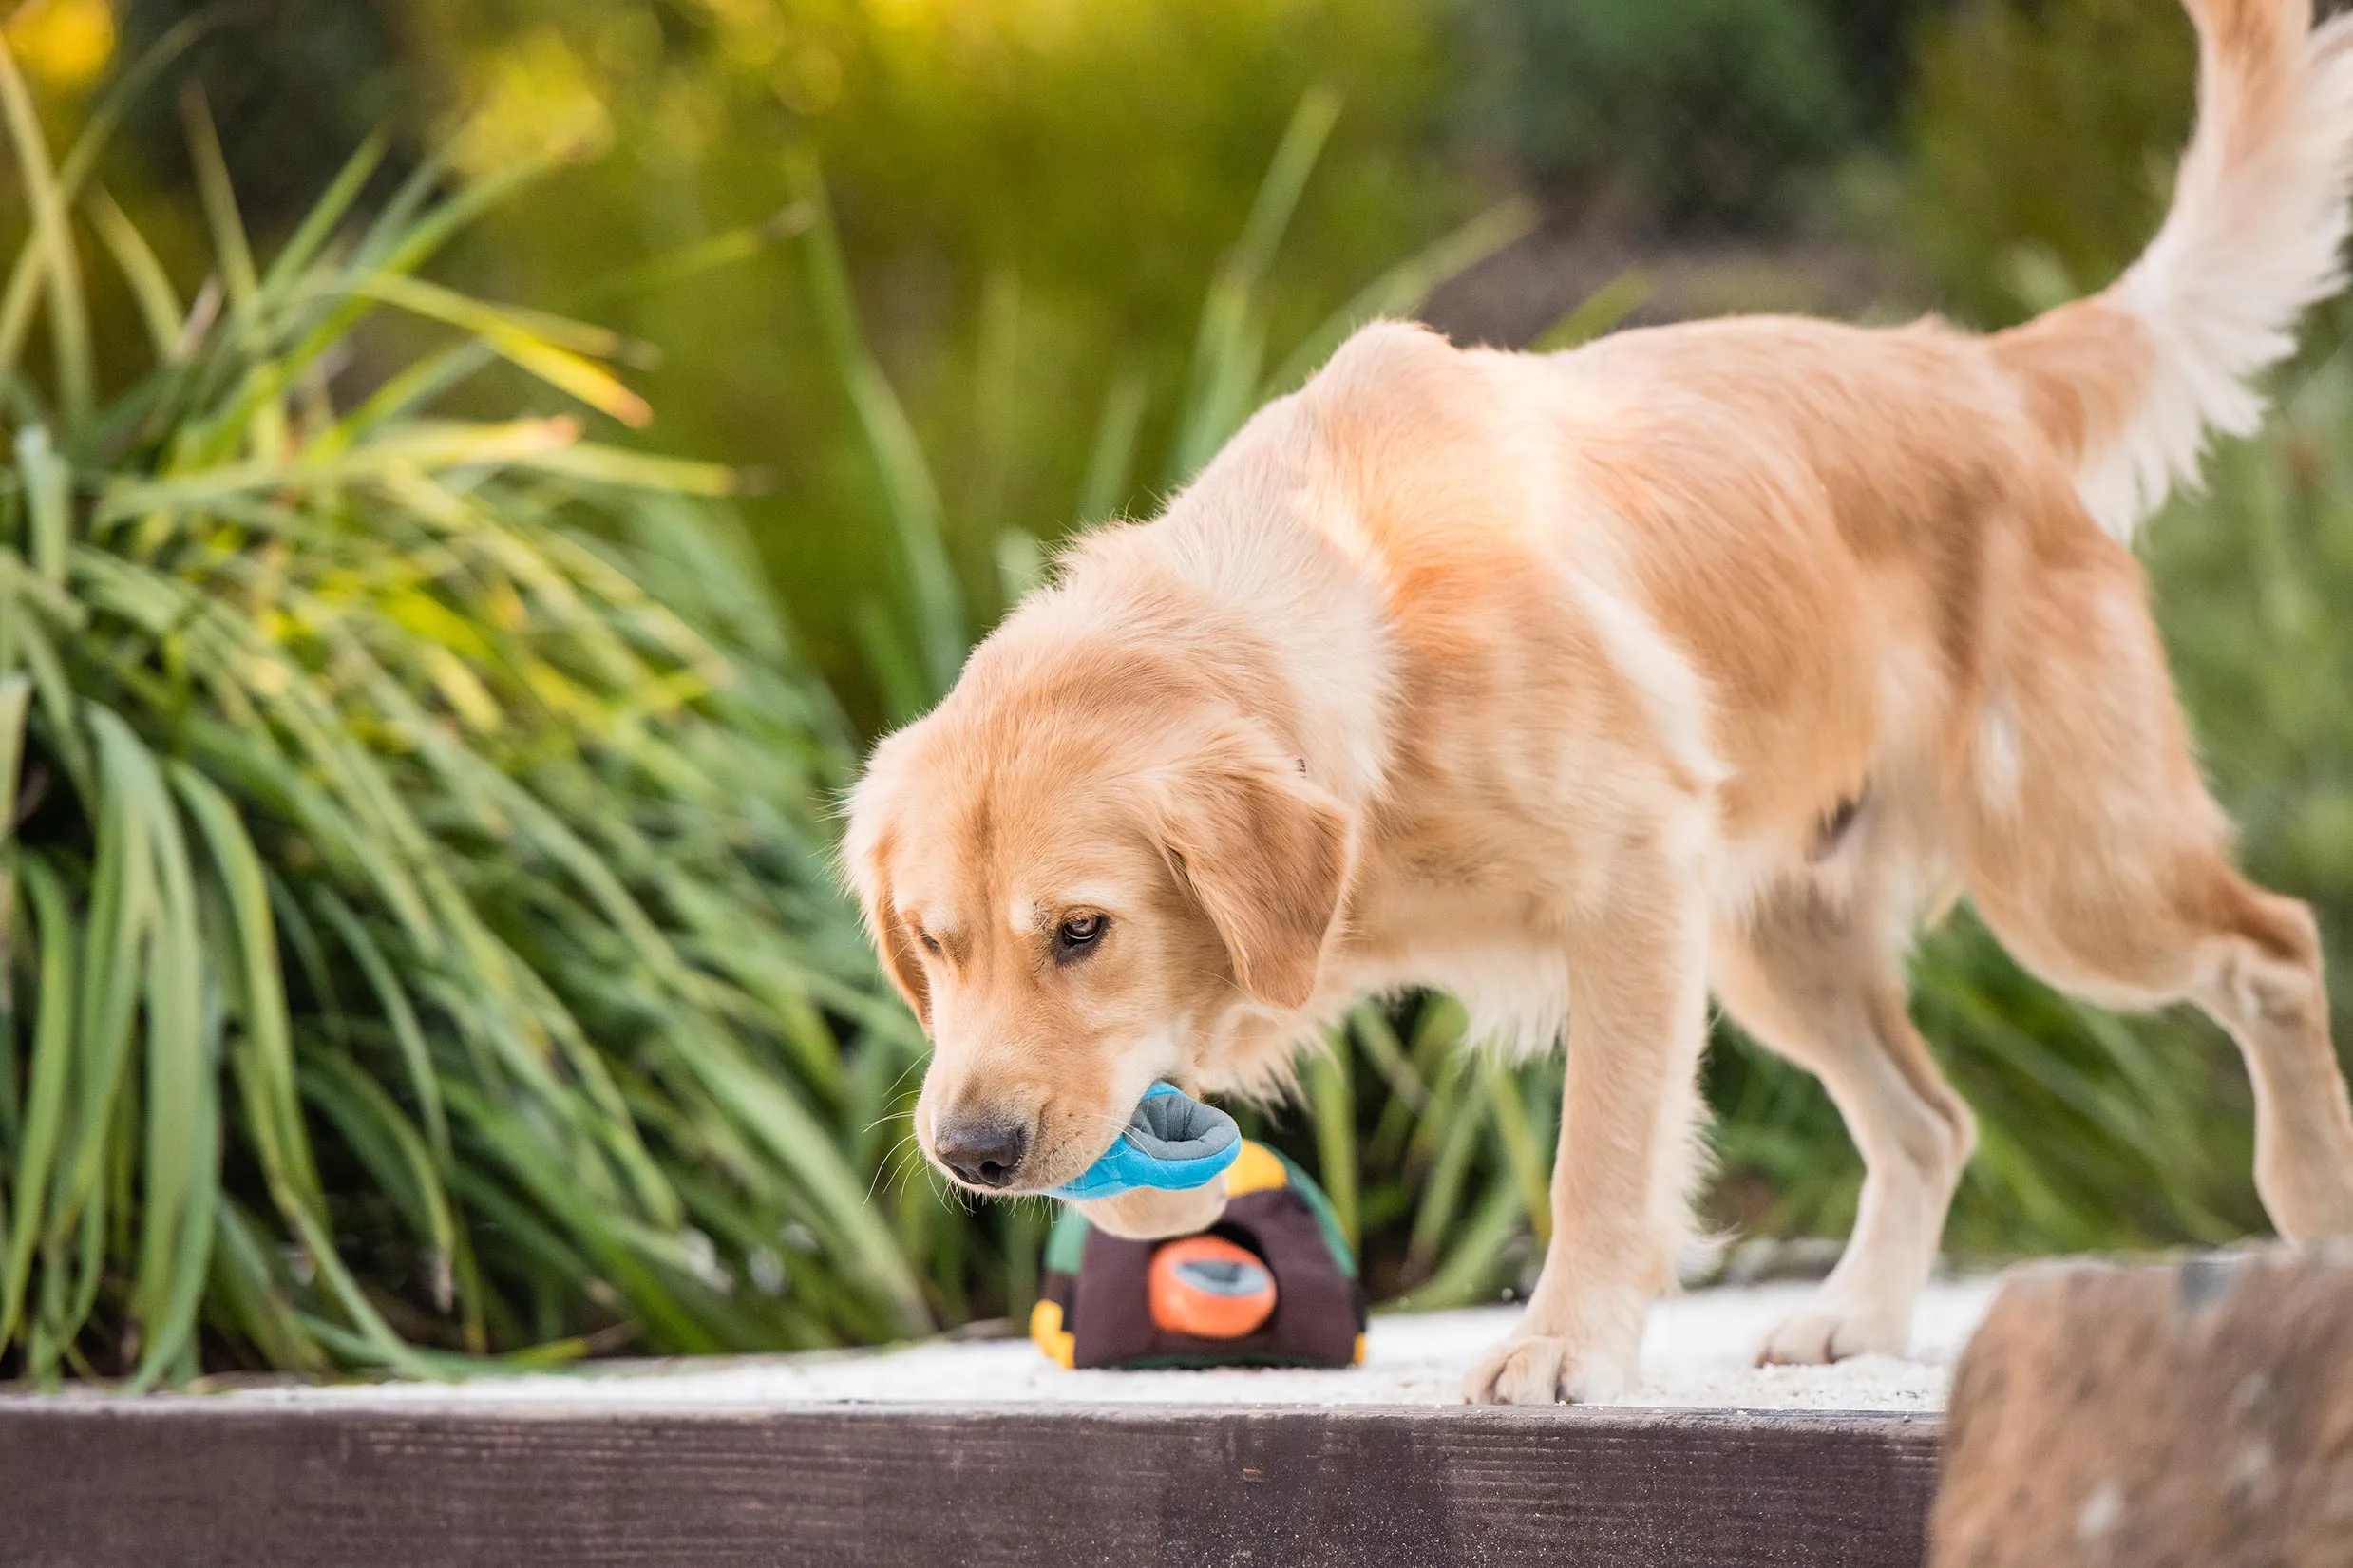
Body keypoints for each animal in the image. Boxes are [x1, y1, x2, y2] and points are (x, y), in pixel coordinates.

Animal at [846, 0, 2353, 1410]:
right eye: (934, 942)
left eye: (1081, 930)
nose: (969, 1153)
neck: (1366, 619)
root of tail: (1972, 367)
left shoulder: (1631, 893)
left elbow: (1603, 1153)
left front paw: (1563, 1343)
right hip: (1779, 938)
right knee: (1931, 1120)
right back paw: (1854, 1317)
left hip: (2068, 874)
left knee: (2273, 945)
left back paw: (2313, 1205)